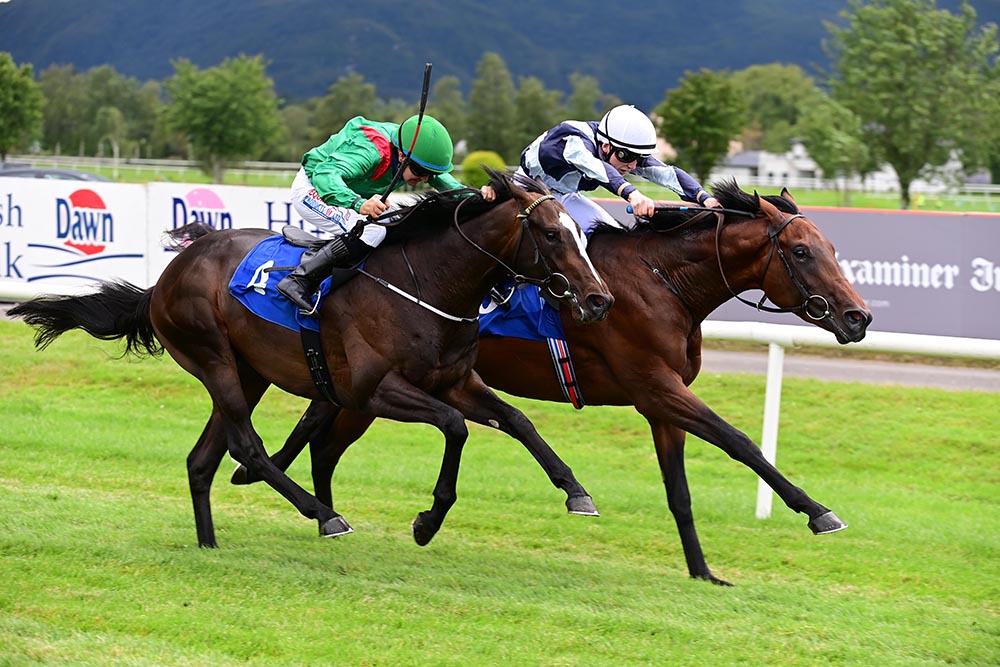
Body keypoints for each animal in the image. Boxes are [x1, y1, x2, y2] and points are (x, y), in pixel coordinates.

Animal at [11, 171, 612, 548]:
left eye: (583, 235)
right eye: (552, 234)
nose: (598, 299)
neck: (428, 284)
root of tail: (169, 274)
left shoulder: (455, 380)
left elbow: (517, 419)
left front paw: (577, 492)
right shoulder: (375, 390)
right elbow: (455, 427)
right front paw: (428, 520)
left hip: (248, 372)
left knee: (203, 459)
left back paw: (209, 544)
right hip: (213, 359)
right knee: (246, 447)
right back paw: (324, 516)